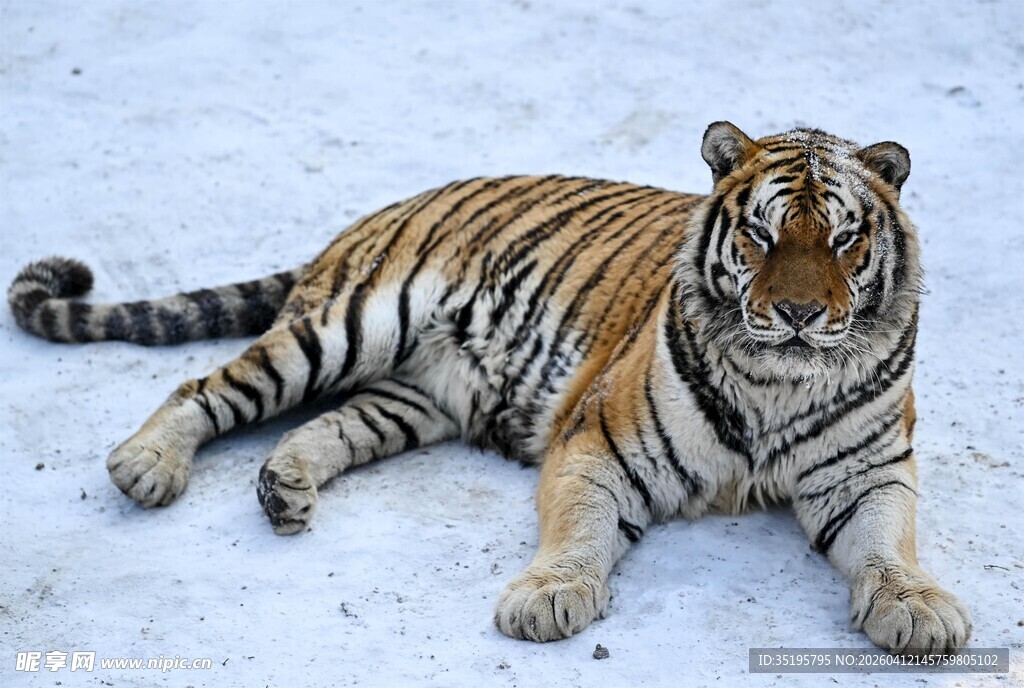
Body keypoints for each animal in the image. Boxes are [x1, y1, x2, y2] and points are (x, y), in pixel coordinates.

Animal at [8, 122, 972, 654]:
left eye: (844, 238)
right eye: (763, 237)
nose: (801, 314)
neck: (781, 380)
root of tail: (380, 212)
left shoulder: (868, 475)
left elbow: (889, 546)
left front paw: (920, 612)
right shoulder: (598, 445)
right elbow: (580, 530)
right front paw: (548, 599)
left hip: (413, 398)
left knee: (323, 427)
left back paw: (284, 489)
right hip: (352, 325)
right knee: (209, 384)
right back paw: (147, 466)